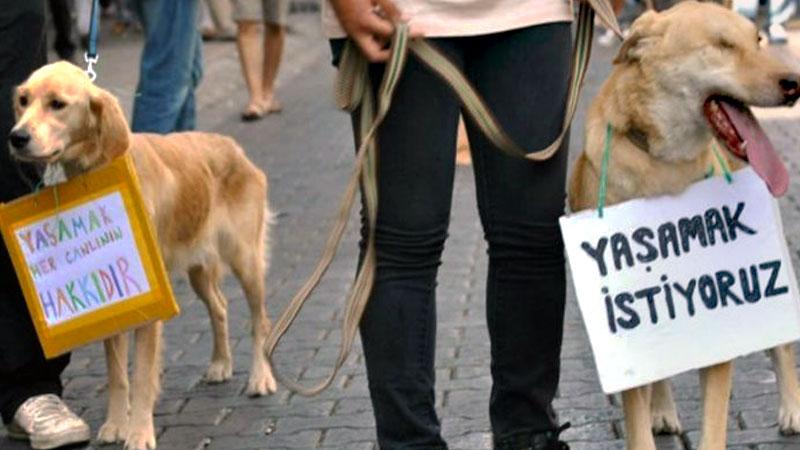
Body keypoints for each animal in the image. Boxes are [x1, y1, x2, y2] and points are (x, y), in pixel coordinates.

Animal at [7, 60, 278, 450]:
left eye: (57, 104)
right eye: (24, 101)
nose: (17, 137)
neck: (96, 166)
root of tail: (233, 147)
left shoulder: (150, 307)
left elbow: (142, 376)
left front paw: (138, 433)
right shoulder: (116, 305)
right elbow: (118, 375)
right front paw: (115, 425)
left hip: (246, 261)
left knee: (259, 322)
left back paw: (260, 378)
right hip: (198, 269)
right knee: (221, 308)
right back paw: (220, 364)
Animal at [568, 3, 800, 450]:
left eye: (758, 40)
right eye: (722, 45)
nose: (794, 84)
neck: (665, 167)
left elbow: (714, 424)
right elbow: (637, 419)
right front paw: (651, 417)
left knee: (781, 345)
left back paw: (793, 408)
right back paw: (662, 409)